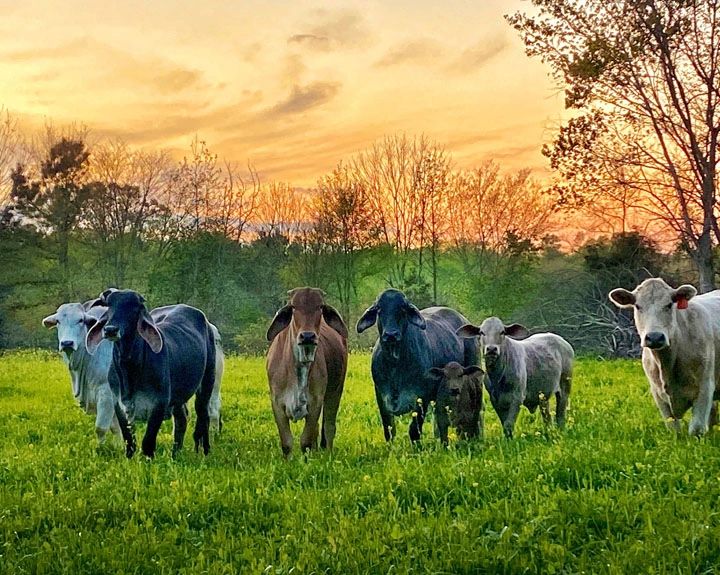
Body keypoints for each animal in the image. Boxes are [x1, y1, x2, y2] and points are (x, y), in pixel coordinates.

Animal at [86, 290, 215, 462]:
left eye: (134, 307)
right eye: (110, 306)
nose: (111, 330)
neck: (129, 369)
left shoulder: (159, 403)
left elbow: (148, 441)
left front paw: (148, 459)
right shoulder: (118, 402)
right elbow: (128, 439)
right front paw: (129, 458)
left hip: (207, 382)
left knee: (203, 416)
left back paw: (205, 450)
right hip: (178, 397)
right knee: (181, 419)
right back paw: (175, 454)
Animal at [268, 288, 350, 460]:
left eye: (320, 307)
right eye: (293, 307)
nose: (307, 336)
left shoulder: (315, 403)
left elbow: (305, 441)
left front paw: (306, 461)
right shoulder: (277, 402)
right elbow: (286, 443)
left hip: (335, 391)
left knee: (329, 426)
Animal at [356, 290, 478, 444]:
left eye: (403, 309)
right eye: (379, 309)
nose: (391, 334)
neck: (395, 365)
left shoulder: (421, 397)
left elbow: (414, 430)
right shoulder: (381, 396)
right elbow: (389, 430)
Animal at [612, 280, 720, 436]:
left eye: (669, 304)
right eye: (637, 306)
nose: (655, 337)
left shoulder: (705, 386)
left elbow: (696, 429)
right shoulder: (657, 393)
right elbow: (674, 429)